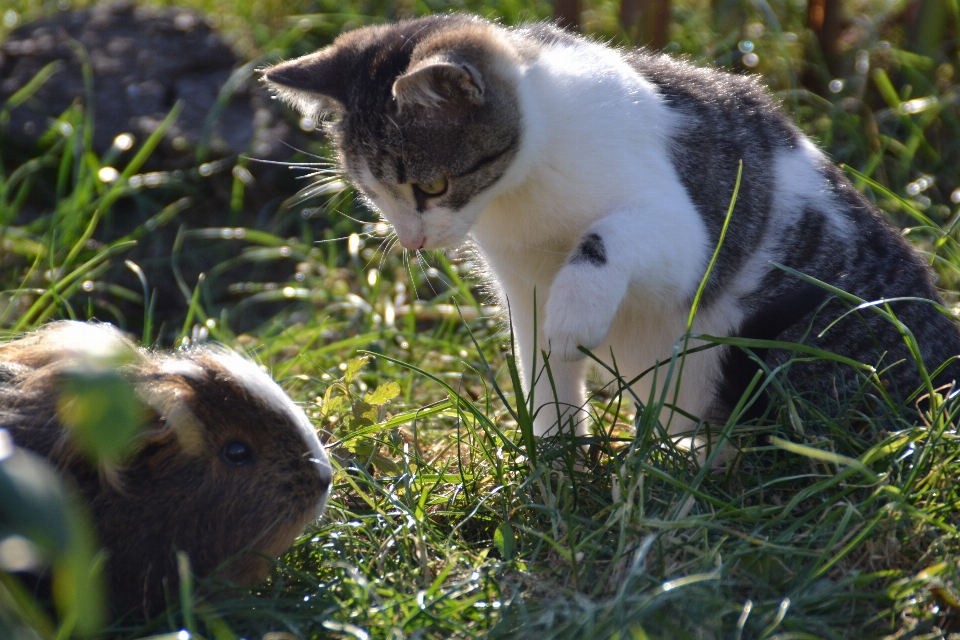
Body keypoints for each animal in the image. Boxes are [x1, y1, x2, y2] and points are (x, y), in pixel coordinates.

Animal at [260, 15, 960, 444]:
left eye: (430, 187)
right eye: (374, 194)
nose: (412, 240)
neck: (521, 188)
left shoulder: (682, 229)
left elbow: (608, 239)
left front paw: (576, 322)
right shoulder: (522, 284)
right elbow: (541, 367)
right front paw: (555, 460)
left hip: (795, 342)